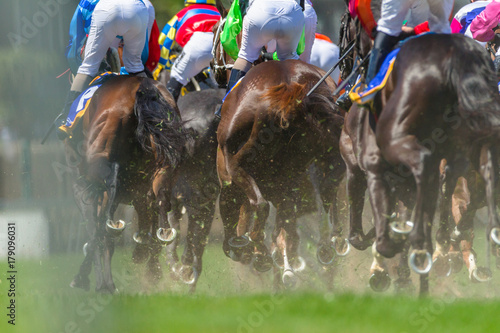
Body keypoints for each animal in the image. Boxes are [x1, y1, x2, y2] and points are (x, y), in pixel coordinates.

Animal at [66, 76, 188, 294]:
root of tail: (142, 86)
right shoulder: (138, 192)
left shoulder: (81, 187)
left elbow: (95, 229)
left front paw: (92, 280)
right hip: (164, 165)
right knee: (161, 198)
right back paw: (161, 238)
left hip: (99, 160)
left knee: (110, 187)